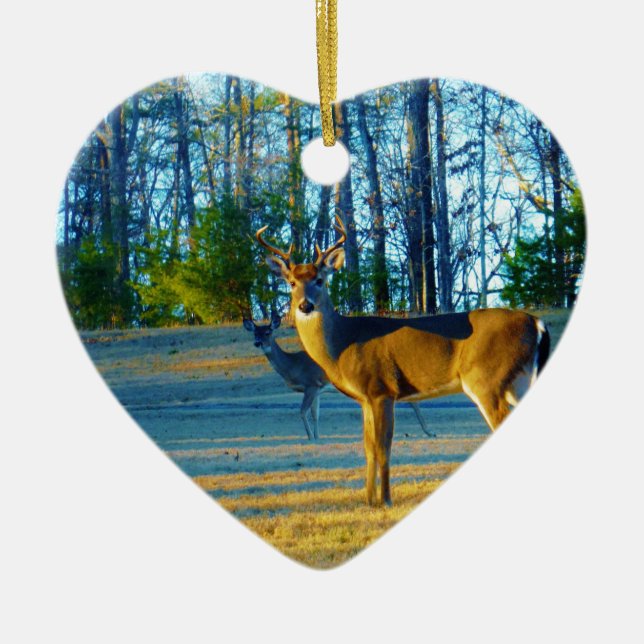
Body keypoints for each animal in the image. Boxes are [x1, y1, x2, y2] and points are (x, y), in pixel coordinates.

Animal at [243, 313, 434, 441]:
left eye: (268, 332)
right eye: (255, 333)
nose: (258, 342)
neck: (293, 366)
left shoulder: (310, 384)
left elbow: (303, 411)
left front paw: (310, 437)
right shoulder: (317, 389)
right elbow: (315, 413)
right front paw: (317, 437)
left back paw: (429, 431)